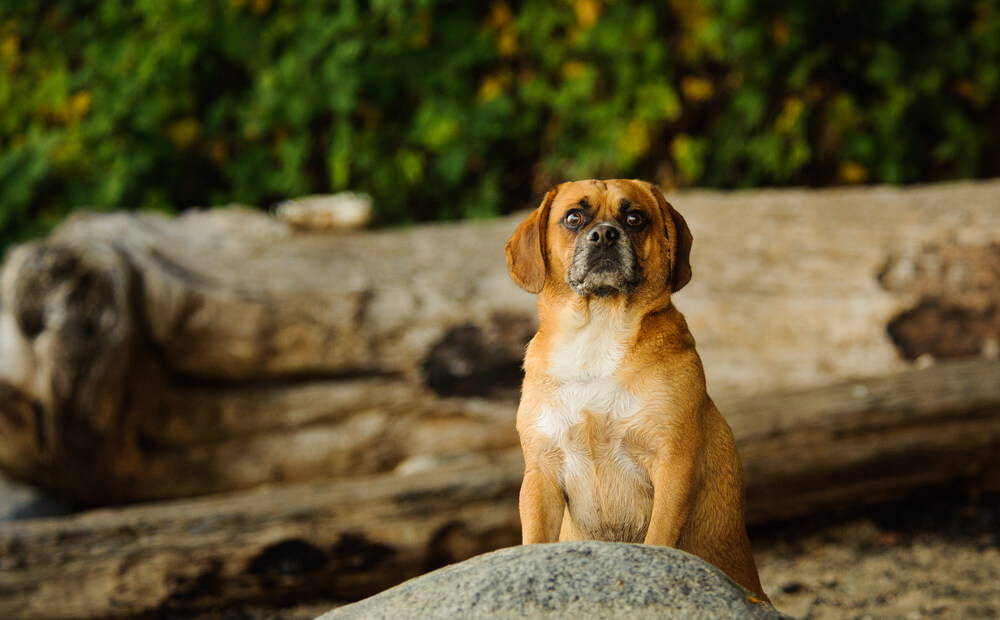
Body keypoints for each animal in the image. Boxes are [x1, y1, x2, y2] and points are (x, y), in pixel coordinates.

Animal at [504, 178, 768, 600]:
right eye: (573, 218)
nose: (604, 234)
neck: (597, 333)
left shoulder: (672, 463)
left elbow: (659, 538)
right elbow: (534, 542)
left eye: (635, 219)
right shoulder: (540, 474)